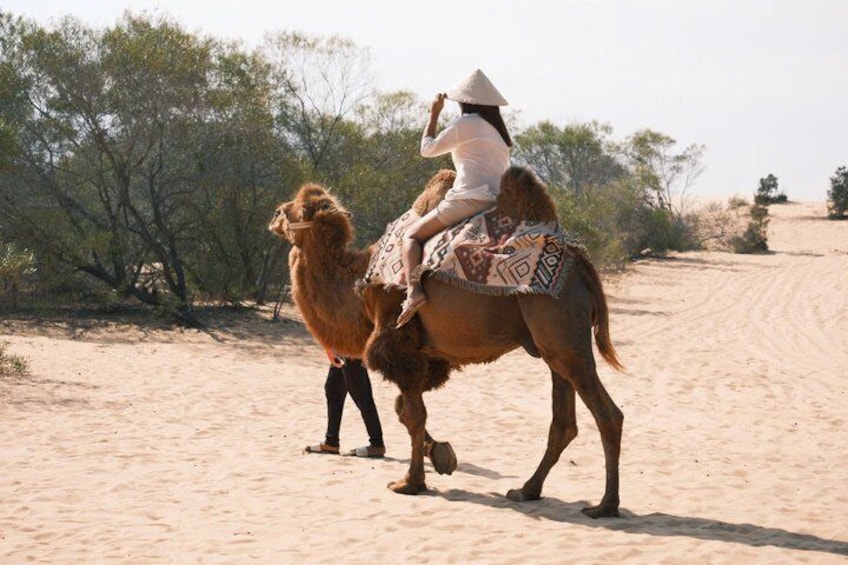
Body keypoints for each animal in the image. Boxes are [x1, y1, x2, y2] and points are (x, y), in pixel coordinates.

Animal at [269, 167, 624, 518]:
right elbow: (403, 409)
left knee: (608, 415)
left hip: (563, 335)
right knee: (563, 422)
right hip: (552, 346)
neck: (358, 286)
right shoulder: (428, 354)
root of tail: (582, 266)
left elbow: (413, 415)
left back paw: (605, 505)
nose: (274, 214)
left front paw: (410, 482)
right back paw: (527, 489)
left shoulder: (395, 339)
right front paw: (441, 455)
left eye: (297, 209)